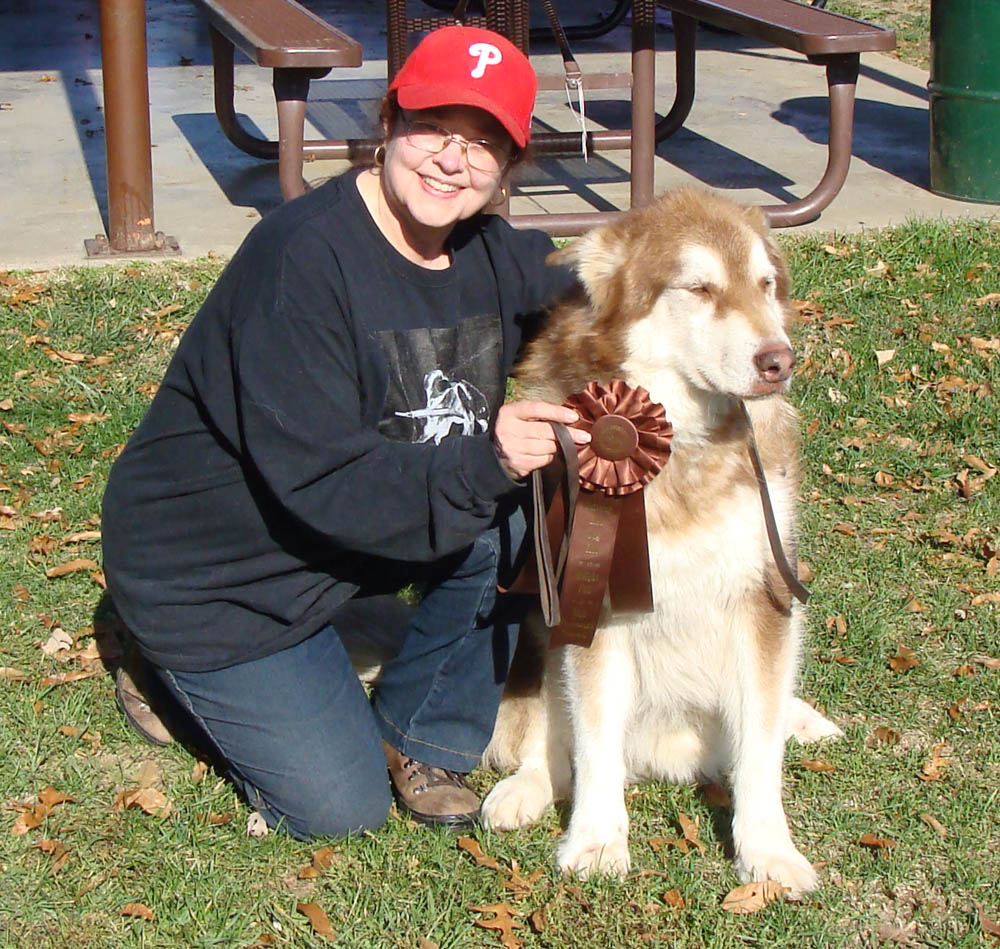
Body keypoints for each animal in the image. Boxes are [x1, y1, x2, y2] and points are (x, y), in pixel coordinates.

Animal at [480, 185, 840, 896]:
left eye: (764, 285)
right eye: (699, 288)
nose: (779, 360)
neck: (681, 447)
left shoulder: (766, 596)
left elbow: (760, 749)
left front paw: (767, 851)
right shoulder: (588, 602)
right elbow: (592, 742)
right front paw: (595, 840)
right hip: (540, 625)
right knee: (552, 740)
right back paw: (526, 788)